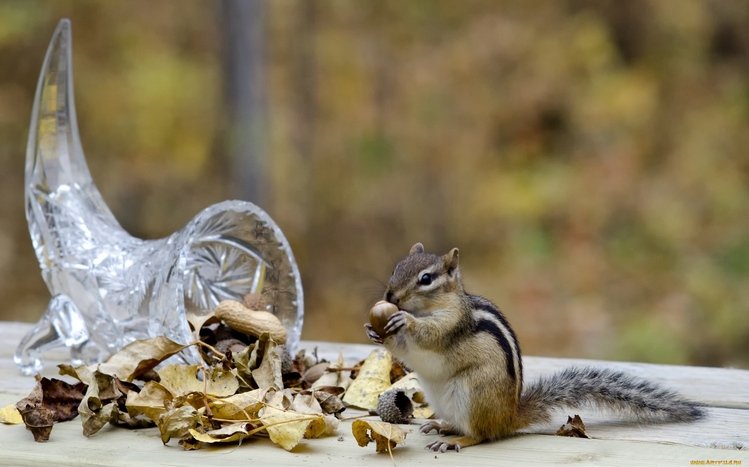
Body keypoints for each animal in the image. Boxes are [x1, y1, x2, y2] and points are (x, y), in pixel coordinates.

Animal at [365, 242, 704, 453]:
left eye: (426, 279)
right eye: (396, 267)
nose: (390, 296)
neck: (436, 306)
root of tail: (509, 416)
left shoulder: (452, 324)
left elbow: (428, 335)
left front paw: (405, 321)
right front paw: (374, 330)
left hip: (472, 394)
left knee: (481, 434)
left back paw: (457, 439)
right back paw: (442, 425)